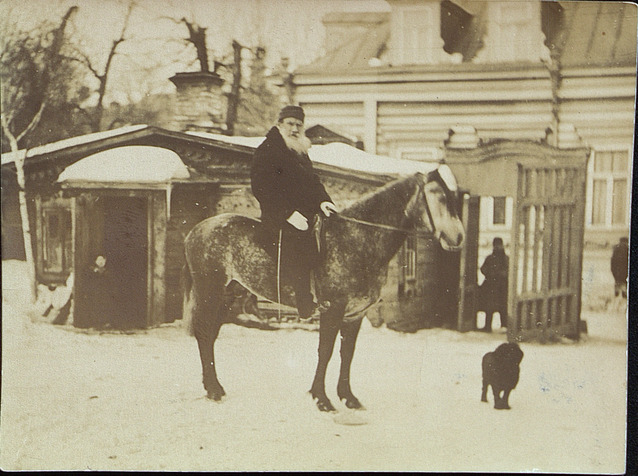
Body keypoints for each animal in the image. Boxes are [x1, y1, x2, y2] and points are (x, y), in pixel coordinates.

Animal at [182, 165, 468, 410]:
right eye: (438, 196)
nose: (458, 237)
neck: (357, 239)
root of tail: (197, 230)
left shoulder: (355, 314)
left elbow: (347, 354)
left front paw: (348, 397)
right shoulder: (333, 309)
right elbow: (326, 352)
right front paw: (321, 398)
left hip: (229, 294)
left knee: (210, 335)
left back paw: (213, 387)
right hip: (211, 292)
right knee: (204, 333)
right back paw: (213, 389)